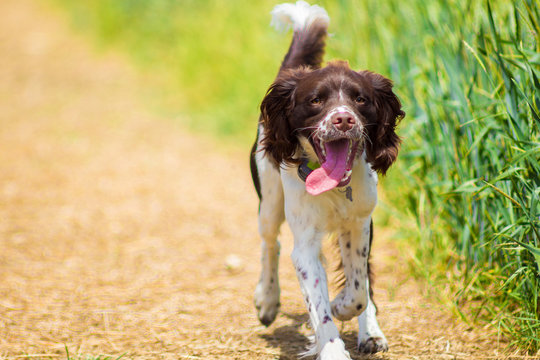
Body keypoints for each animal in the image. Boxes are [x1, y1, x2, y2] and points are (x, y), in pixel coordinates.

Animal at [250, 2, 404, 358]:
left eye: (360, 99)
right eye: (316, 100)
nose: (343, 119)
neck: (336, 187)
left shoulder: (360, 224)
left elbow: (359, 291)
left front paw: (344, 309)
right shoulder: (305, 244)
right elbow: (318, 304)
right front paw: (331, 347)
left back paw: (370, 331)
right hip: (269, 200)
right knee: (270, 242)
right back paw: (267, 299)